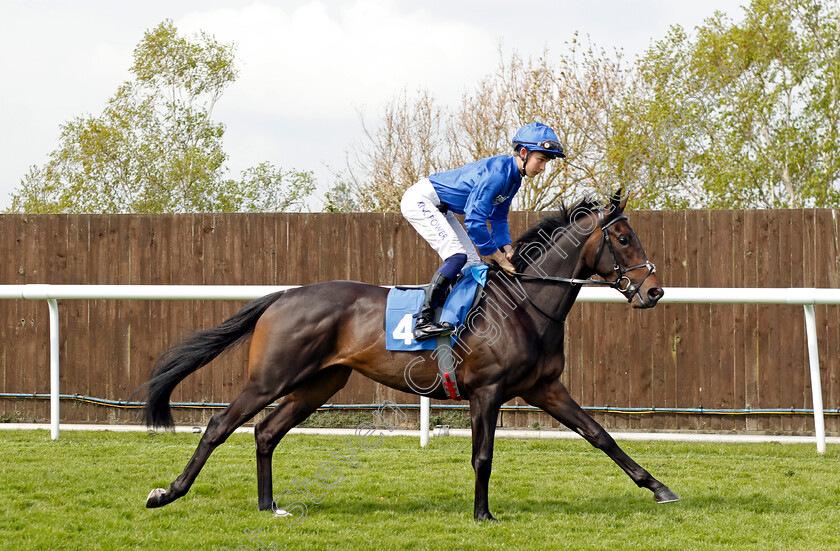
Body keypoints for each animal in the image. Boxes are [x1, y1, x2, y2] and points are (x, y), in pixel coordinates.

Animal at [138, 192, 676, 520]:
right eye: (623, 238)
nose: (654, 290)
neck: (524, 304)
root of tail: (285, 294)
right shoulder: (487, 391)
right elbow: (483, 455)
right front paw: (482, 514)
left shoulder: (545, 387)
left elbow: (599, 435)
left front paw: (658, 488)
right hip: (271, 377)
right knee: (218, 426)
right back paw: (167, 492)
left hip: (320, 383)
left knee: (266, 432)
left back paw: (269, 506)